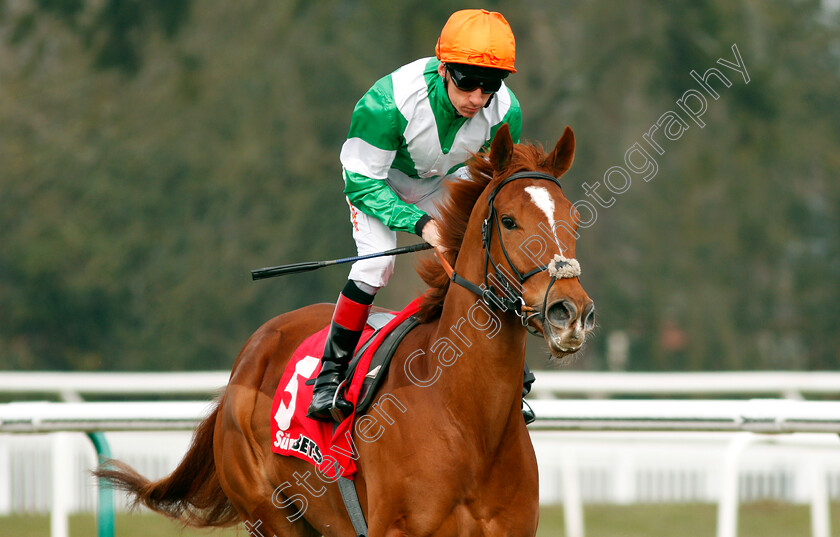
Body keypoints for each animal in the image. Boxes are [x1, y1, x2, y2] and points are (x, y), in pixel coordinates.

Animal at [98, 123, 592, 532]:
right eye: (508, 221)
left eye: (575, 219)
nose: (570, 312)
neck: (467, 419)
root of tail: (249, 355)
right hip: (271, 516)